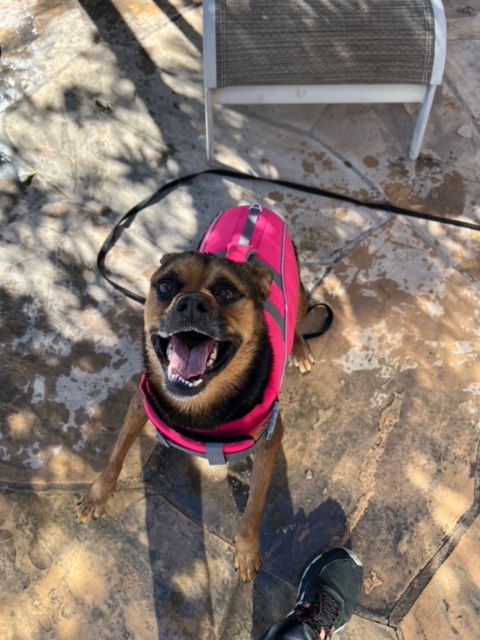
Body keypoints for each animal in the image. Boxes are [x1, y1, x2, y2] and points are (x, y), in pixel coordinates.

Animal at [76, 204, 316, 580]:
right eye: (165, 285)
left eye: (228, 293)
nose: (190, 303)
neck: (200, 403)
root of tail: (254, 208)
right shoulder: (139, 404)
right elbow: (116, 454)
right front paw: (98, 495)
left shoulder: (271, 439)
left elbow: (254, 507)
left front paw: (246, 550)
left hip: (300, 291)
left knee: (301, 313)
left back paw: (301, 348)